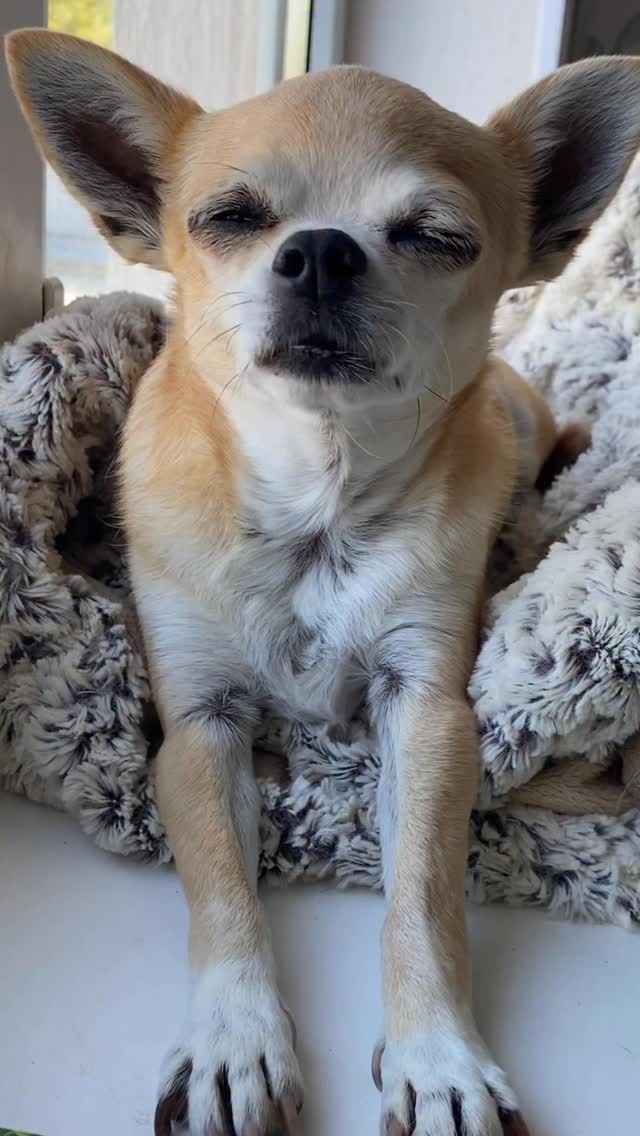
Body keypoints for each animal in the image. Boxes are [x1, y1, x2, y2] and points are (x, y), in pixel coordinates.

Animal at [7, 29, 640, 1136]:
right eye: (228, 218)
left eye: (437, 236)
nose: (320, 249)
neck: (316, 504)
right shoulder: (201, 725)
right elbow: (223, 882)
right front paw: (232, 1041)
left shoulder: (426, 712)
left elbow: (423, 895)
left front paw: (439, 1059)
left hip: (516, 428)